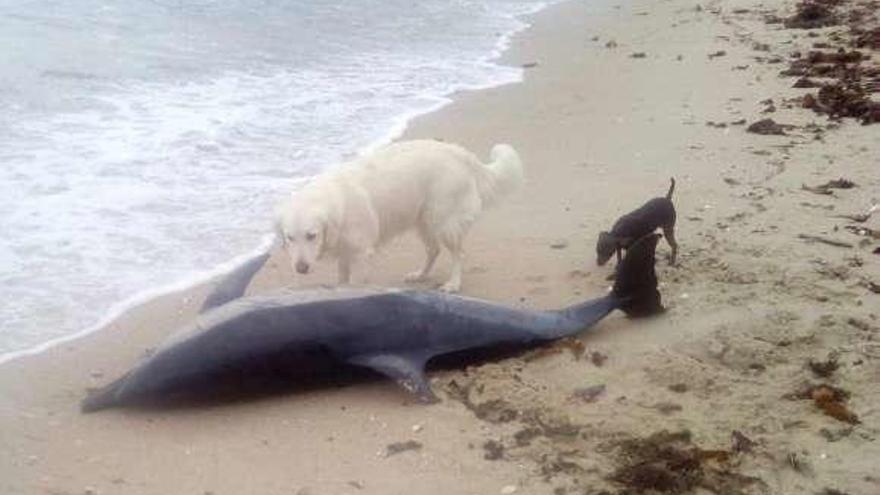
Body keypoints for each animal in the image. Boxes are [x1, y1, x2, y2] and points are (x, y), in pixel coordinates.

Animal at [276, 138, 524, 292]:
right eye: (290, 238)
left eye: (312, 236)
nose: (301, 269)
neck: (338, 202)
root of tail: (459, 152)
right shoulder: (345, 254)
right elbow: (342, 280)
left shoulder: (361, 255)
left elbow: (355, 283)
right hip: (423, 220)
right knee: (433, 250)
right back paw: (420, 275)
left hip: (443, 222)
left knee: (458, 254)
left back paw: (453, 284)